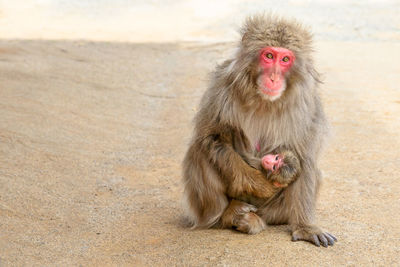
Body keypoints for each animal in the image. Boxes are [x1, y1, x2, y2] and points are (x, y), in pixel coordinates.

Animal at [183, 14, 336, 248]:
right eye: (269, 55)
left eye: (285, 59)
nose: (273, 77)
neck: (265, 99)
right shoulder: (221, 86)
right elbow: (213, 137)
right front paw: (259, 184)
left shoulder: (307, 105)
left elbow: (305, 158)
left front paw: (307, 228)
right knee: (200, 150)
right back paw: (228, 214)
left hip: (272, 211)